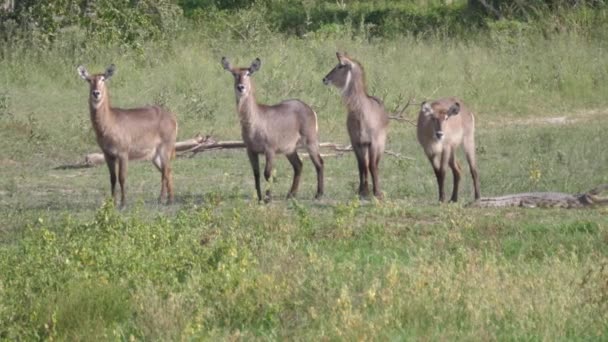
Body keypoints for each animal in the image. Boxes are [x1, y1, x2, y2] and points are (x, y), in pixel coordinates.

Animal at [77, 65, 177, 208]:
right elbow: (112, 178)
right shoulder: (108, 155)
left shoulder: (123, 154)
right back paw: (170, 199)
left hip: (165, 149)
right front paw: (112, 203)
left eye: (103, 78)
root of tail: (172, 117)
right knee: (168, 170)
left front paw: (123, 203)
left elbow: (122, 177)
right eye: (89, 80)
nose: (96, 93)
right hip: (155, 155)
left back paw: (161, 199)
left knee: (165, 171)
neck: (110, 122)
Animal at [222, 57, 326, 202]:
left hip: (310, 142)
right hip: (290, 149)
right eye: (234, 74)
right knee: (298, 165)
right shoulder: (250, 150)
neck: (254, 123)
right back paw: (291, 194)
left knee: (319, 163)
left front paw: (268, 198)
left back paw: (318, 194)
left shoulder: (270, 149)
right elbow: (256, 173)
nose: (240, 87)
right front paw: (259, 198)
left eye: (248, 73)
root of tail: (310, 108)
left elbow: (267, 173)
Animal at [324, 52, 390, 199]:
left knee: (375, 164)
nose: (325, 79)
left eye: (340, 65)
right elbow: (361, 166)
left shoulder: (373, 142)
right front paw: (362, 191)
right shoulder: (356, 142)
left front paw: (377, 193)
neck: (360, 112)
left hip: (380, 145)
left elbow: (372, 166)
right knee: (366, 164)